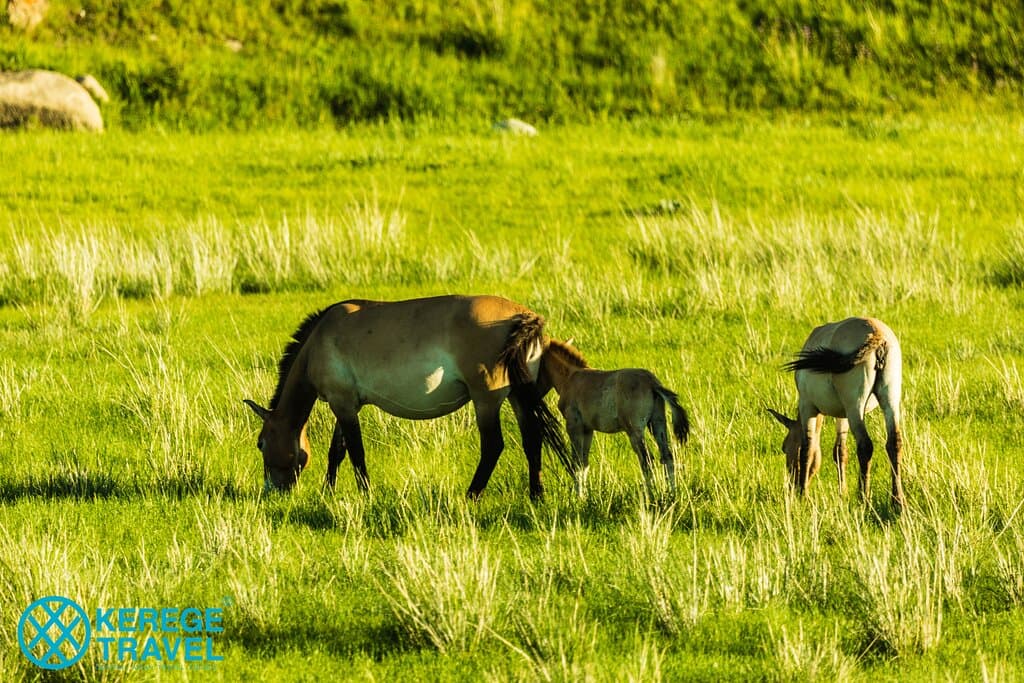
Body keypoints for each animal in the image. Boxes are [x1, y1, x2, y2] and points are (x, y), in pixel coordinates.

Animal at [244, 295, 568, 498]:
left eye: (260, 443)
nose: (272, 490)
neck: (318, 341)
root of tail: (524, 317)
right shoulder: (346, 404)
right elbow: (337, 451)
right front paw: (328, 491)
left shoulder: (342, 404)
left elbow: (355, 451)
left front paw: (365, 493)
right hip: (518, 396)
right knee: (532, 439)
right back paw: (536, 495)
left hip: (485, 400)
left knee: (493, 446)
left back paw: (471, 495)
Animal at [539, 339, 690, 495]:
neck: (570, 378)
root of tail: (653, 383)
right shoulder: (588, 429)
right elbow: (584, 463)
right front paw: (585, 495)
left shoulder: (574, 426)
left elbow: (576, 463)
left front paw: (578, 496)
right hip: (658, 423)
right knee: (667, 456)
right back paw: (672, 493)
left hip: (634, 431)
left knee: (647, 459)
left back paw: (650, 495)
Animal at [768, 316, 905, 512]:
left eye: (785, 447)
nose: (791, 486)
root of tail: (877, 334)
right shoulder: (843, 416)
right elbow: (840, 451)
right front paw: (843, 493)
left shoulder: (807, 406)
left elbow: (808, 448)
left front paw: (803, 494)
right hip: (890, 401)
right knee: (894, 443)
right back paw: (897, 501)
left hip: (856, 406)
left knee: (865, 446)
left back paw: (864, 499)